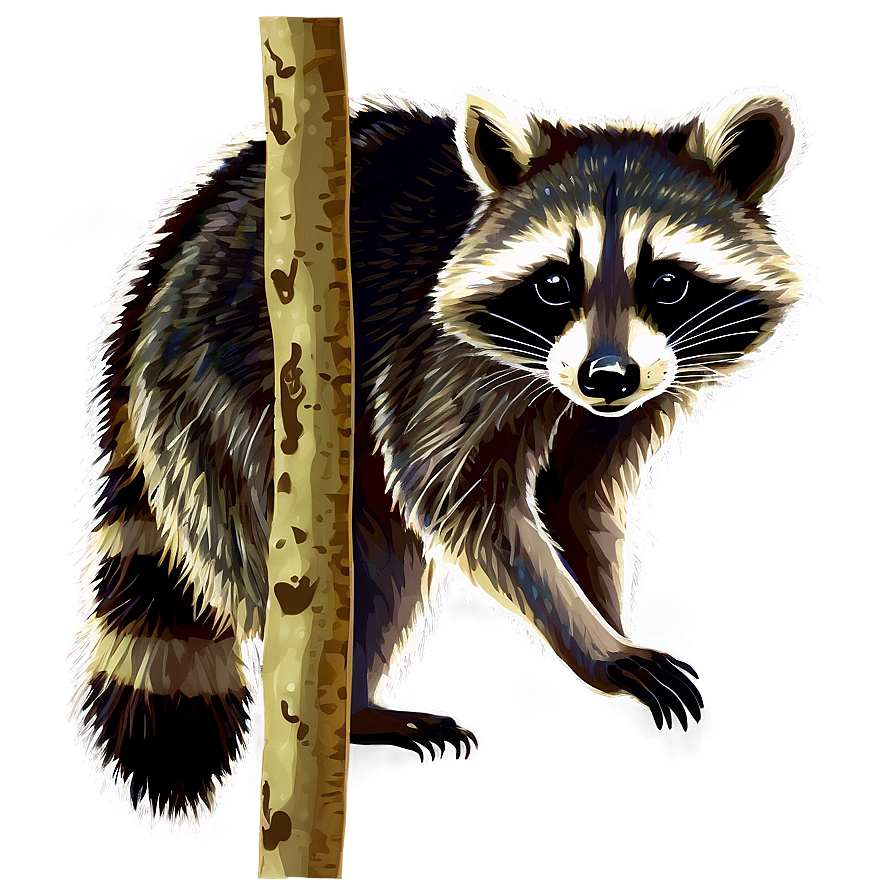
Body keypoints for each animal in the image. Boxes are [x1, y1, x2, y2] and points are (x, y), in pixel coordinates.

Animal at [70, 86, 813, 829]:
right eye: (553, 284)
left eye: (667, 282)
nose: (607, 377)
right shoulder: (432, 355)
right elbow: (460, 497)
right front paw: (595, 643)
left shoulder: (640, 387)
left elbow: (578, 496)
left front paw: (607, 612)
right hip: (225, 400)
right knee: (340, 568)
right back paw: (343, 702)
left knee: (379, 570)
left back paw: (355, 709)